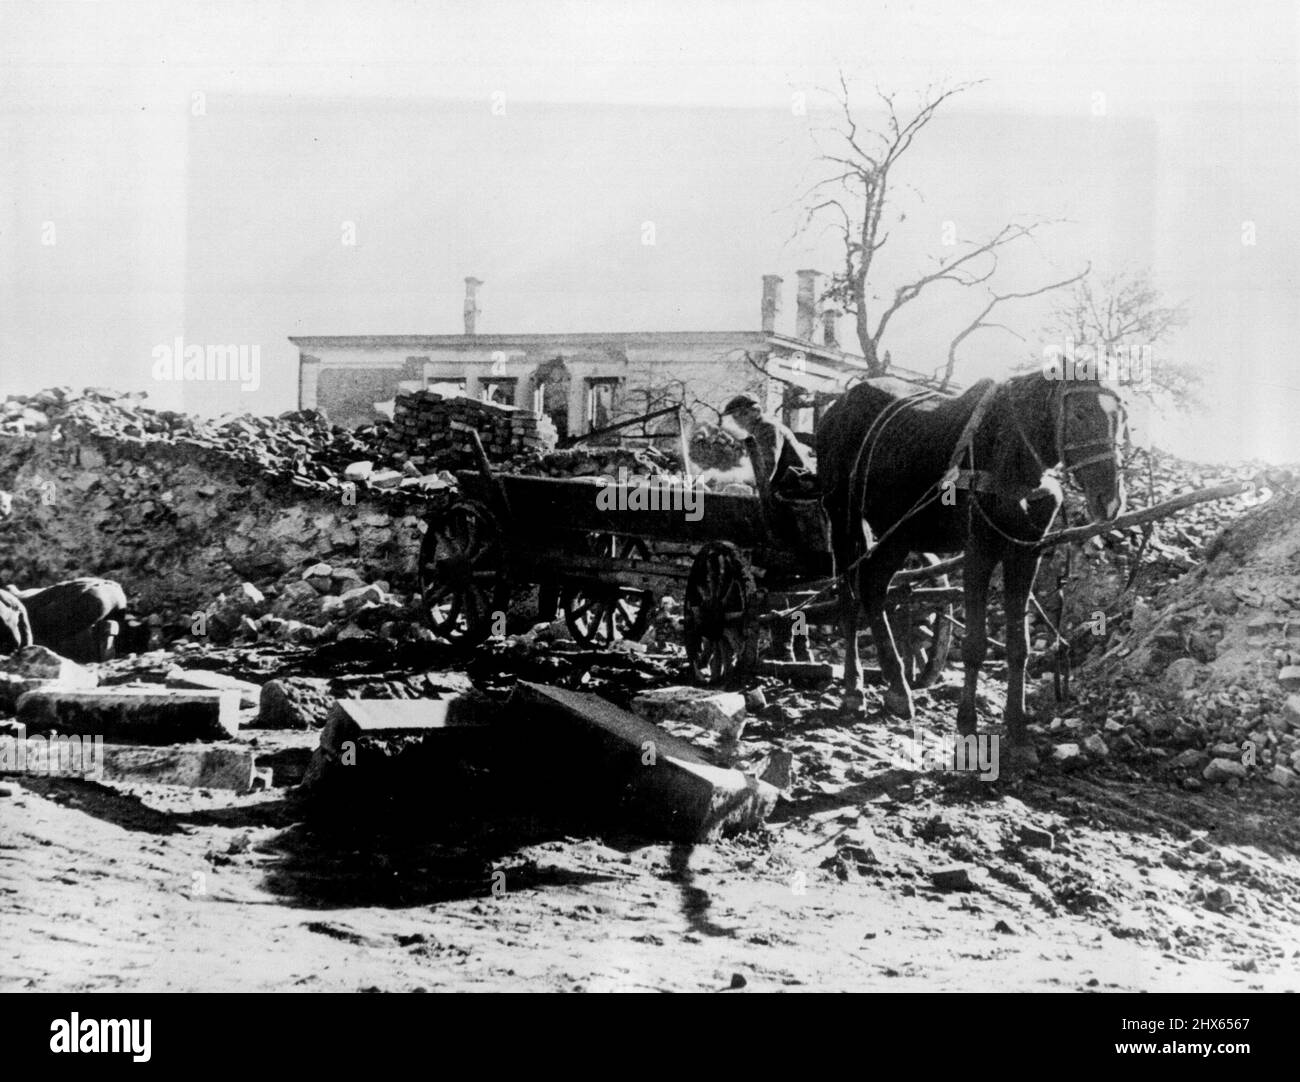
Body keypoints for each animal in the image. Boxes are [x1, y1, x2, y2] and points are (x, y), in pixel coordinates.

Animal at [816, 366, 1123, 749]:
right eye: (1079, 413)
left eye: (1121, 417)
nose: (1110, 501)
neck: (1015, 454)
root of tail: (837, 406)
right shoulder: (979, 550)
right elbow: (975, 645)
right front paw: (966, 722)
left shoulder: (1026, 552)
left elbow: (1018, 646)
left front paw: (1018, 731)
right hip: (842, 517)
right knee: (849, 598)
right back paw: (853, 688)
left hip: (898, 532)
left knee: (873, 588)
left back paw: (898, 688)